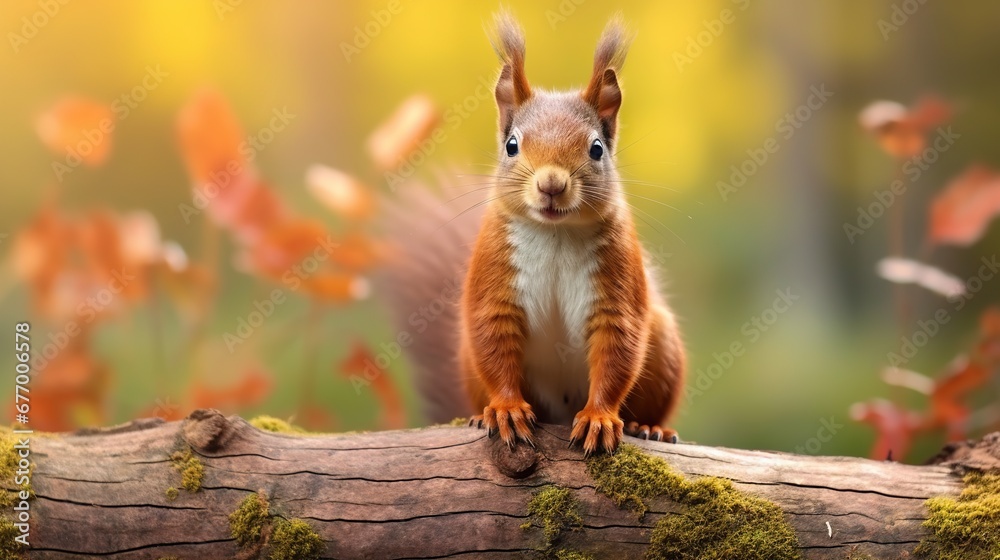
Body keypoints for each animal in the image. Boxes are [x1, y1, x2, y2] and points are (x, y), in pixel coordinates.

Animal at [380, 13, 686, 455]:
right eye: (511, 145)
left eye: (597, 149)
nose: (551, 184)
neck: (556, 234)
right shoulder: (495, 279)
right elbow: (496, 343)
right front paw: (507, 410)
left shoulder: (618, 286)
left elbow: (617, 350)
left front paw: (599, 417)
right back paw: (480, 414)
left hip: (662, 343)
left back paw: (648, 426)